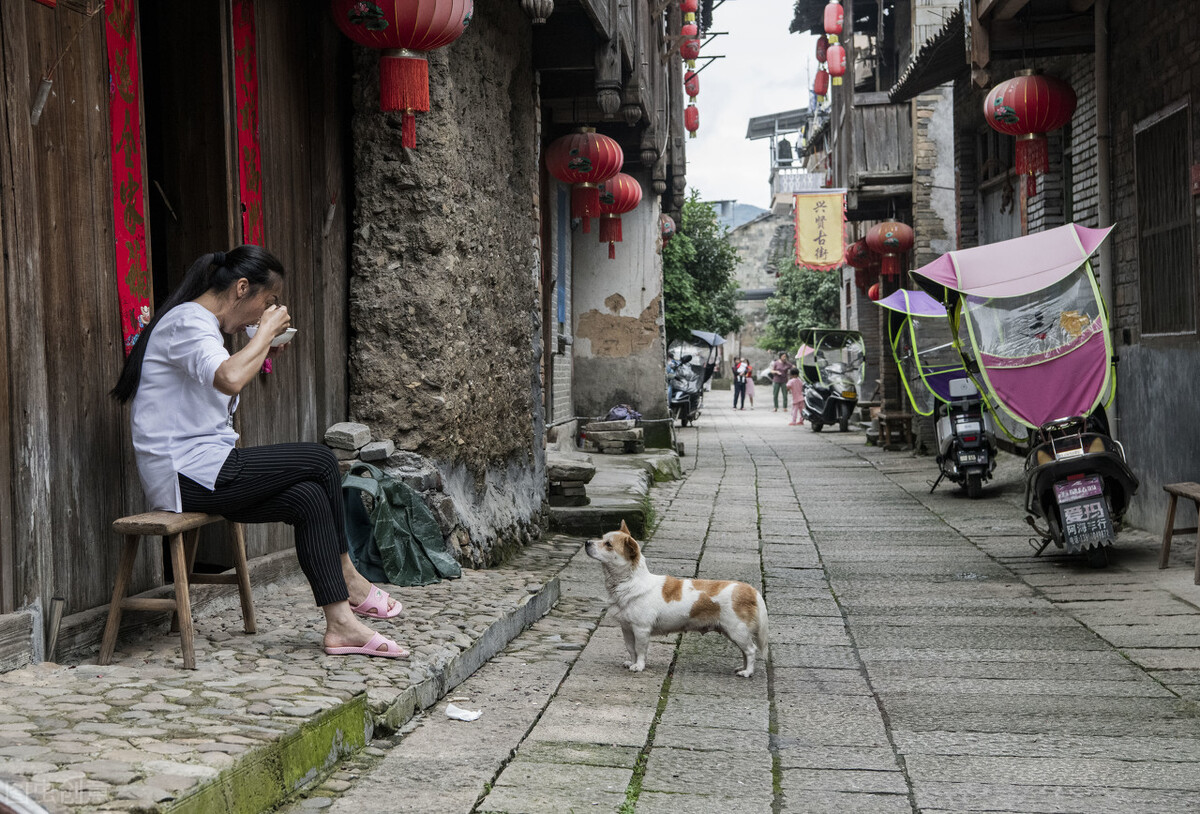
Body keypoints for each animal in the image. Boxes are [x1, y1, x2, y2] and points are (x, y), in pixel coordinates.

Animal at [588, 518, 772, 677]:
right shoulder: (627, 628)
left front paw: (638, 666)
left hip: (737, 631)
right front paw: (631, 663)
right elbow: (631, 649)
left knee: (751, 650)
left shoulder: (641, 629)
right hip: (734, 633)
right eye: (602, 538)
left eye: (608, 544)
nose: (587, 542)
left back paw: (747, 672)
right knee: (745, 651)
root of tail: (750, 590)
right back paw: (742, 667)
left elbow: (640, 650)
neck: (630, 581)